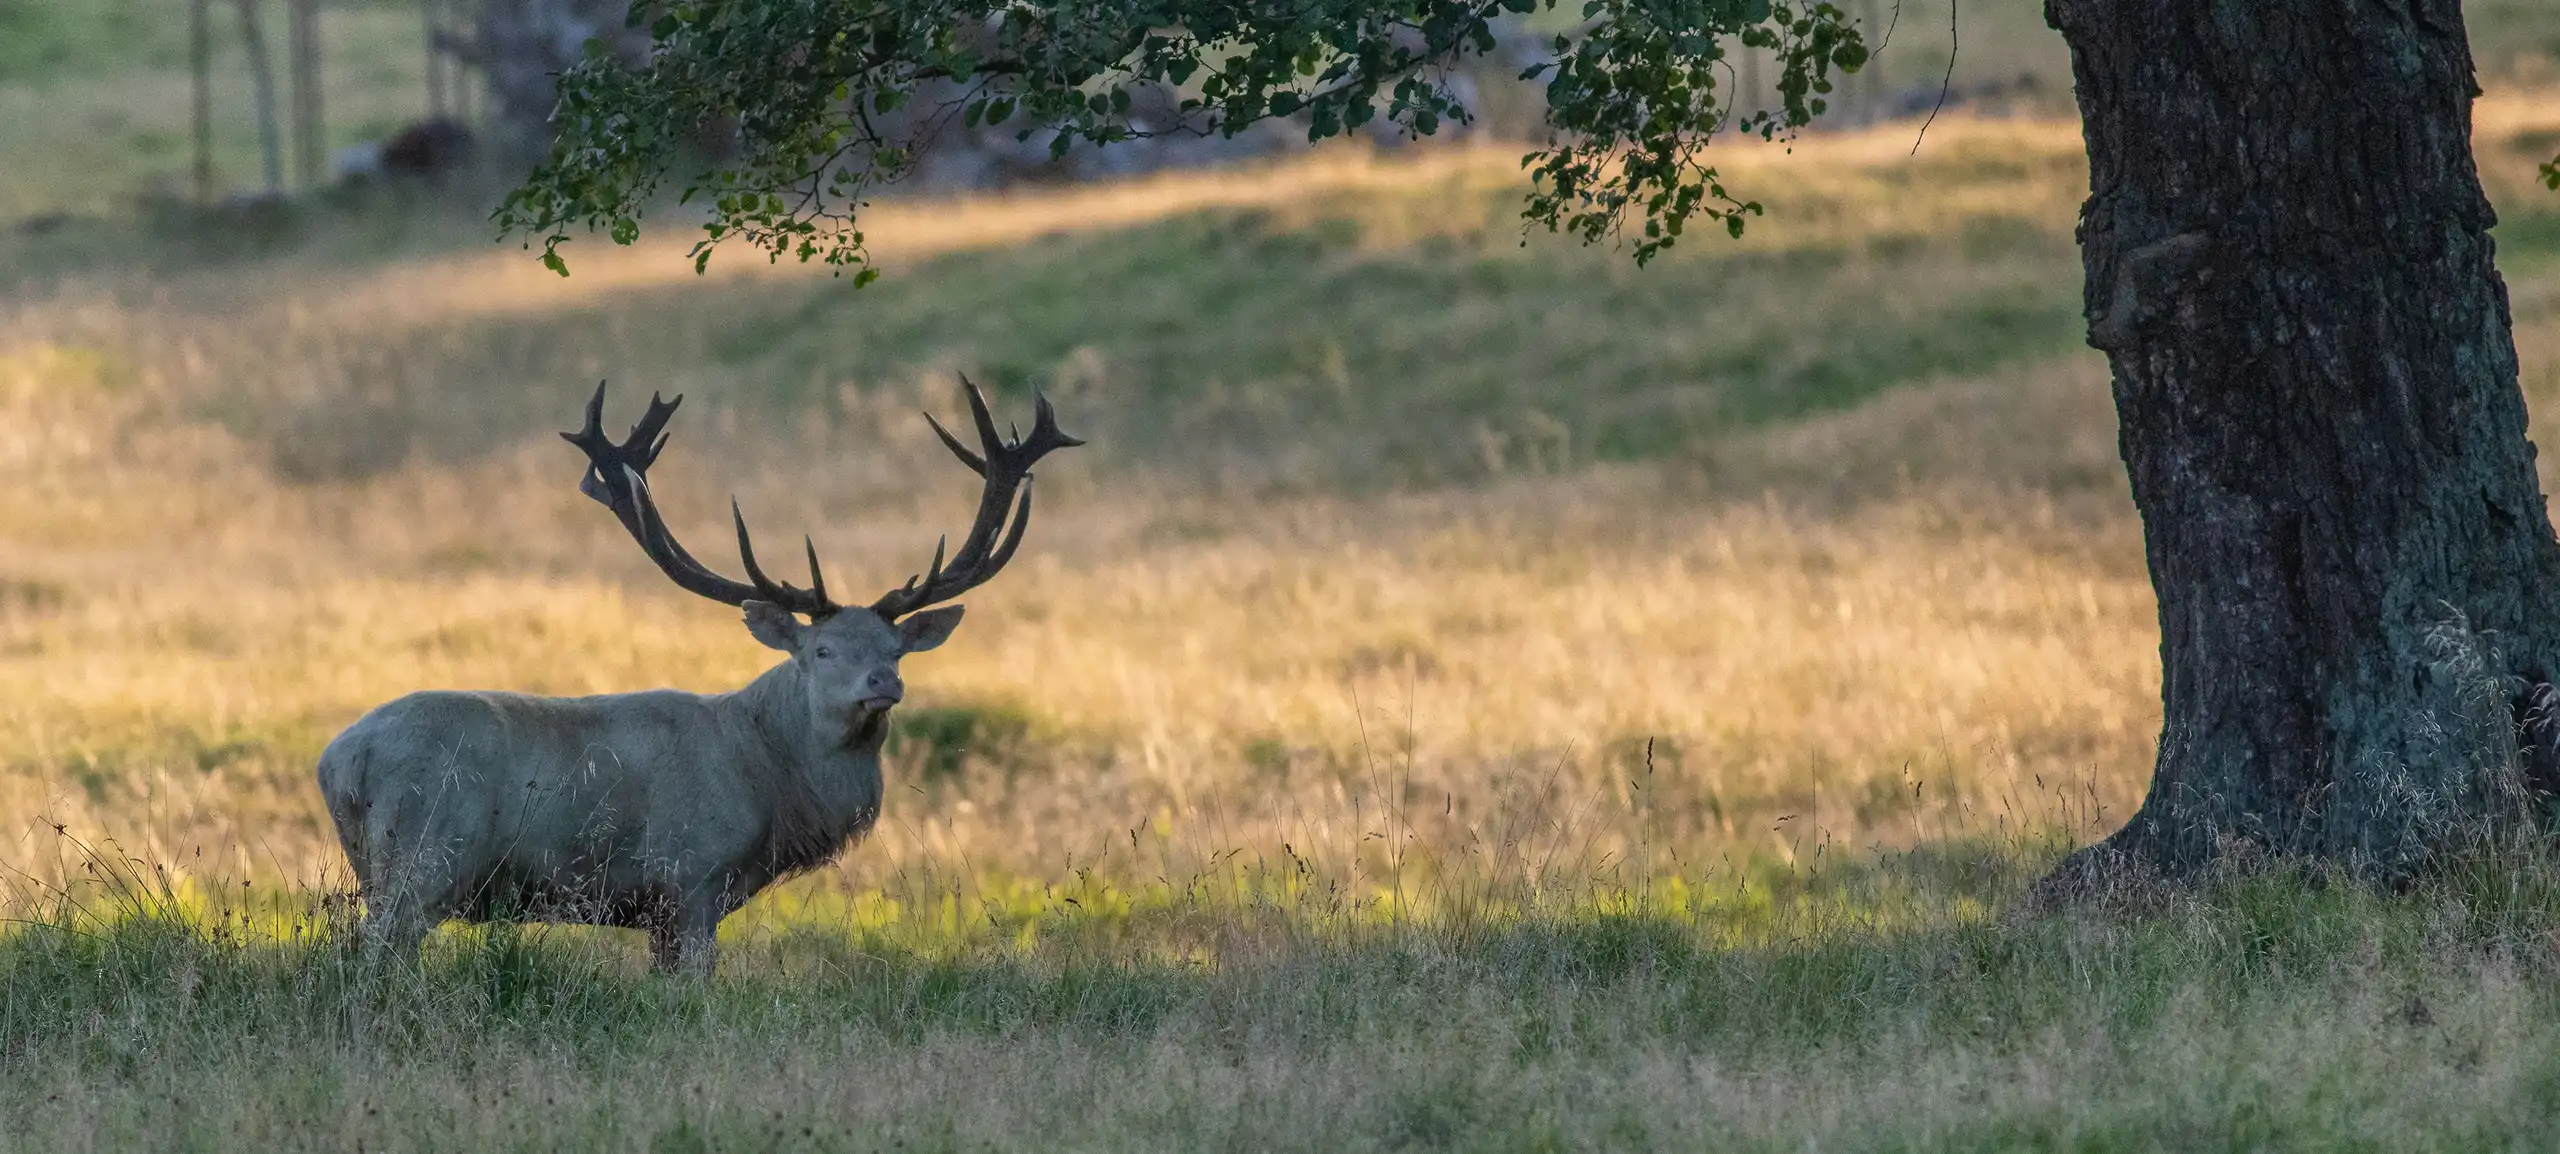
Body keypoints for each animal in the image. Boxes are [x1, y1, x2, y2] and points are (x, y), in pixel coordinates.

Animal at [320, 378, 1080, 977]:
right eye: (822, 650)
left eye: (896, 649)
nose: (882, 685)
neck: (769, 782)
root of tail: (340, 761)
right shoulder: (691, 878)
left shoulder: (662, 908)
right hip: (423, 858)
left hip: (379, 866)